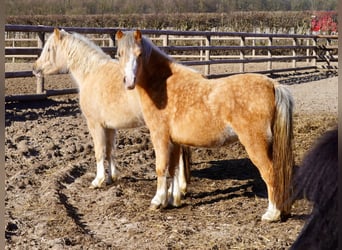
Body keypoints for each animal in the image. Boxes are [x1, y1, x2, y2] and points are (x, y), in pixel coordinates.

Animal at [32, 28, 190, 193]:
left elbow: (99, 152)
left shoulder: (95, 125)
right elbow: (109, 152)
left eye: (49, 49)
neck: (91, 73)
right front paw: (110, 178)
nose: (34, 68)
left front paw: (98, 180)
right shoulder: (109, 127)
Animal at [115, 29, 294, 221]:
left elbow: (161, 168)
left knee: (270, 173)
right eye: (119, 54)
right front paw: (172, 200)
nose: (129, 81)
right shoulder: (174, 141)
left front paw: (157, 201)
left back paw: (272, 214)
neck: (163, 85)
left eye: (140, 54)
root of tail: (272, 84)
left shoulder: (160, 137)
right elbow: (173, 169)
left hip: (256, 144)